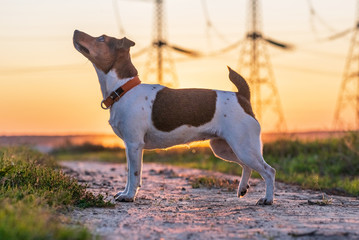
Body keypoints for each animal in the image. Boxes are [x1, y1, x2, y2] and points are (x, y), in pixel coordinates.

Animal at [72, 30, 276, 205]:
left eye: (101, 39)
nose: (75, 31)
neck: (123, 89)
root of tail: (242, 96)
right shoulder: (129, 146)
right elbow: (130, 172)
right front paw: (125, 192)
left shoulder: (134, 144)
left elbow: (134, 174)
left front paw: (129, 196)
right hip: (224, 148)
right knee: (247, 166)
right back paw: (242, 189)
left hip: (243, 146)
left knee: (269, 171)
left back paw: (267, 199)